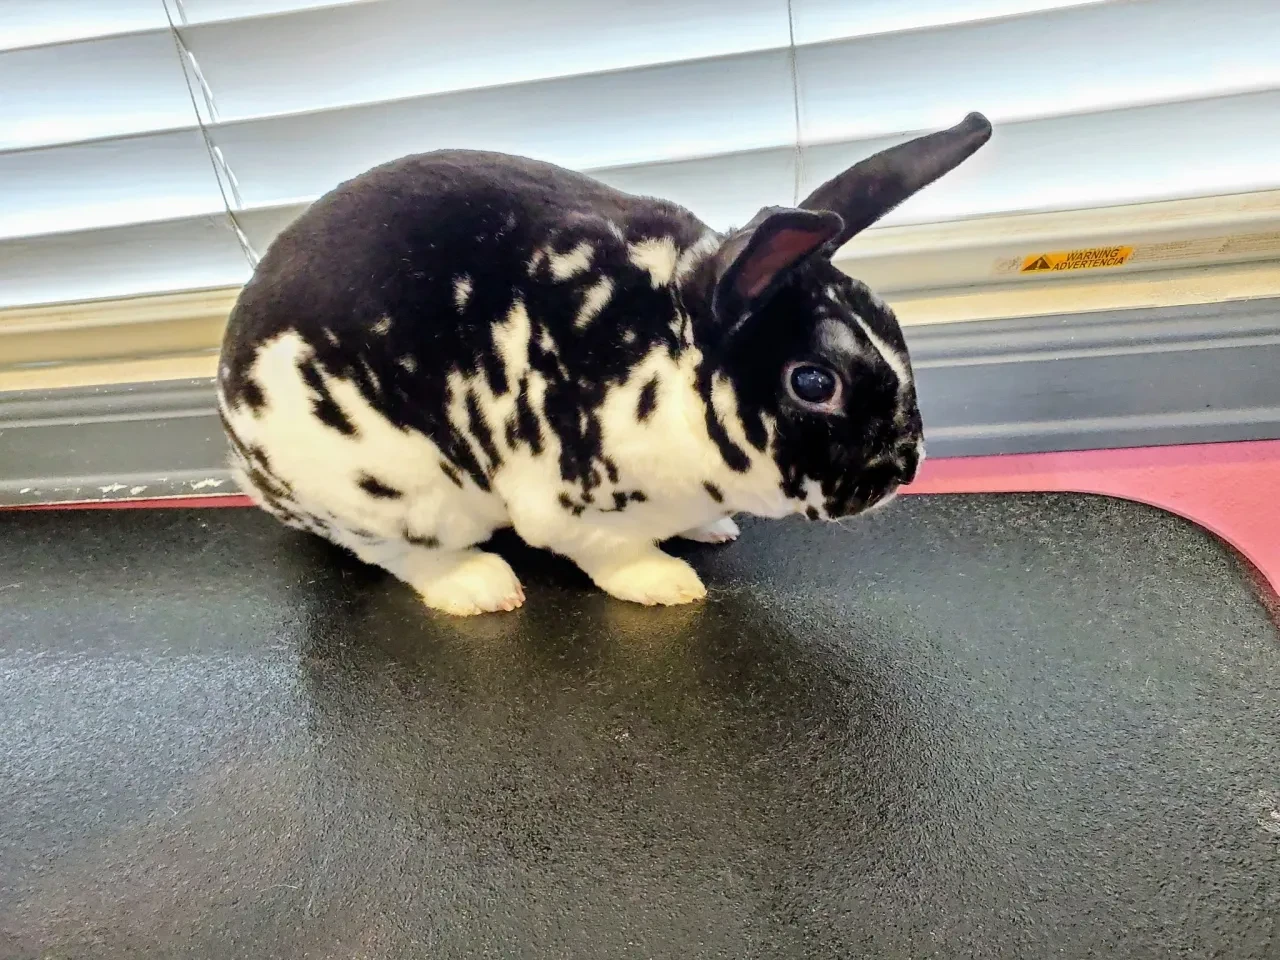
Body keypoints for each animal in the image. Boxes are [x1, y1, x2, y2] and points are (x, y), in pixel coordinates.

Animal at [216, 112, 992, 616]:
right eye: (813, 381)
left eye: (893, 324)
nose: (905, 467)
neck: (668, 355)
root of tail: (243, 453)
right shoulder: (569, 507)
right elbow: (610, 556)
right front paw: (668, 583)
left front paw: (712, 529)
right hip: (397, 496)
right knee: (405, 554)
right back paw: (483, 589)